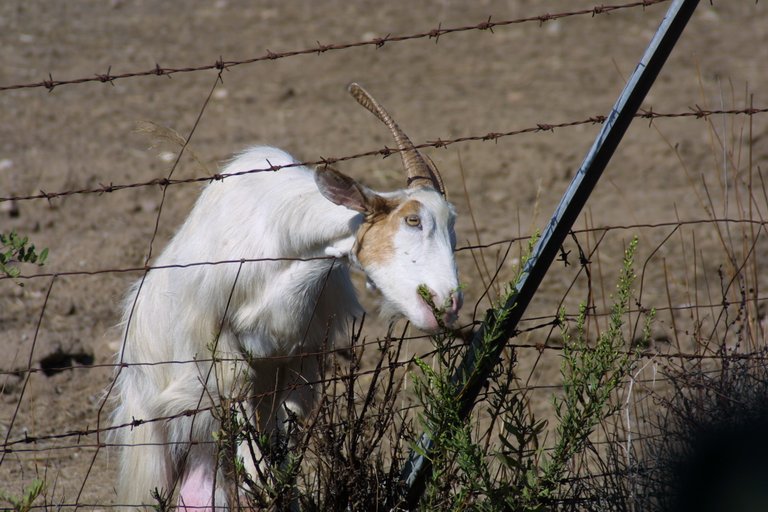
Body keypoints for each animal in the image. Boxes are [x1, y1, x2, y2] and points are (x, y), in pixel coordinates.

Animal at [111, 85, 462, 512]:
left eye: (452, 226)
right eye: (413, 220)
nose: (446, 305)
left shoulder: (301, 360)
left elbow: (283, 468)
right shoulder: (226, 360)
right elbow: (254, 472)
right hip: (153, 431)